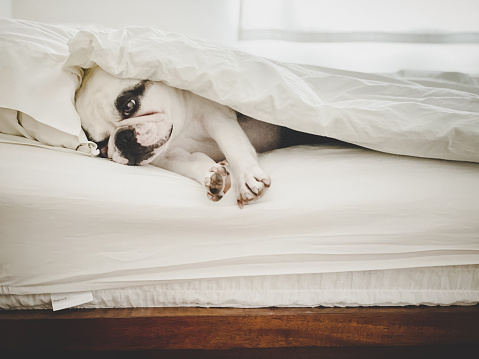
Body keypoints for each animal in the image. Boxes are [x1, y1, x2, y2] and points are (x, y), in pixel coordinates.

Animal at [76, 65, 322, 208]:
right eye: (100, 146)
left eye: (129, 105)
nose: (122, 139)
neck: (182, 128)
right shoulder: (170, 156)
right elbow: (193, 163)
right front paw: (214, 176)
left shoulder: (217, 118)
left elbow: (234, 147)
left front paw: (246, 178)